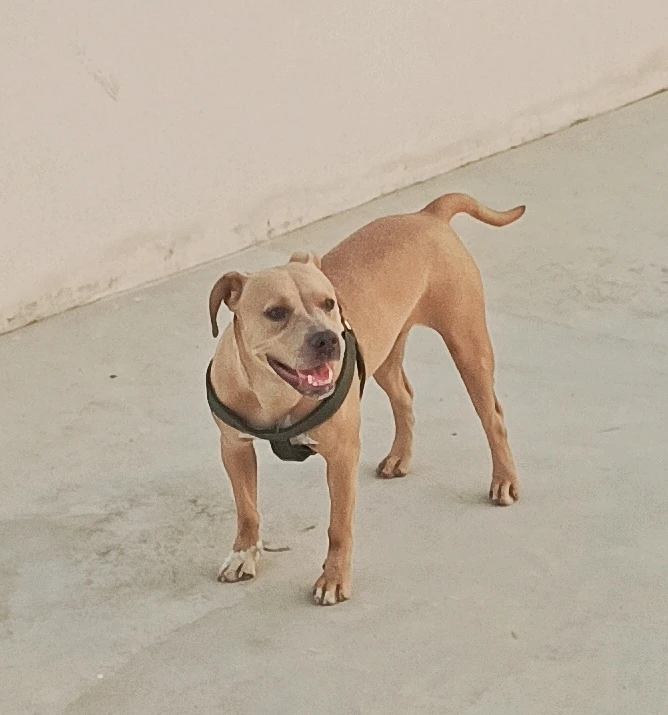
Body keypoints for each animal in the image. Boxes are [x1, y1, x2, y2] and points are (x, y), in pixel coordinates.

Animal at [206, 193, 524, 608]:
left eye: (329, 303)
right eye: (276, 312)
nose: (328, 338)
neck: (275, 394)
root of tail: (427, 215)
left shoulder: (341, 456)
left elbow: (338, 527)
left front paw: (333, 579)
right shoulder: (235, 448)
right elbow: (247, 510)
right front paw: (243, 554)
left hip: (468, 346)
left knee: (493, 417)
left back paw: (504, 480)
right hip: (384, 356)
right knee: (404, 397)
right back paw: (399, 457)